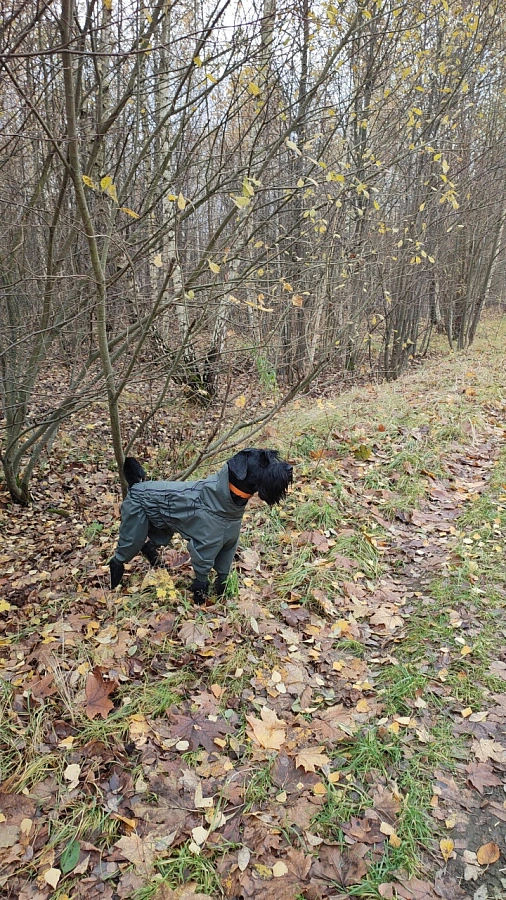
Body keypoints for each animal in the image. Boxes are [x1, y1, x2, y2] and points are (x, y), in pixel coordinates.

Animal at [110, 446, 292, 600]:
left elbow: (223, 572)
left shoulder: (228, 546)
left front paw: (221, 594)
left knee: (147, 546)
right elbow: (202, 576)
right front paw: (200, 599)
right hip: (134, 530)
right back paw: (114, 584)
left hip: (161, 531)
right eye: (263, 461)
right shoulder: (205, 548)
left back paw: (160, 567)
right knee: (118, 557)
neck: (224, 500)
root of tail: (135, 485)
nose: (290, 469)